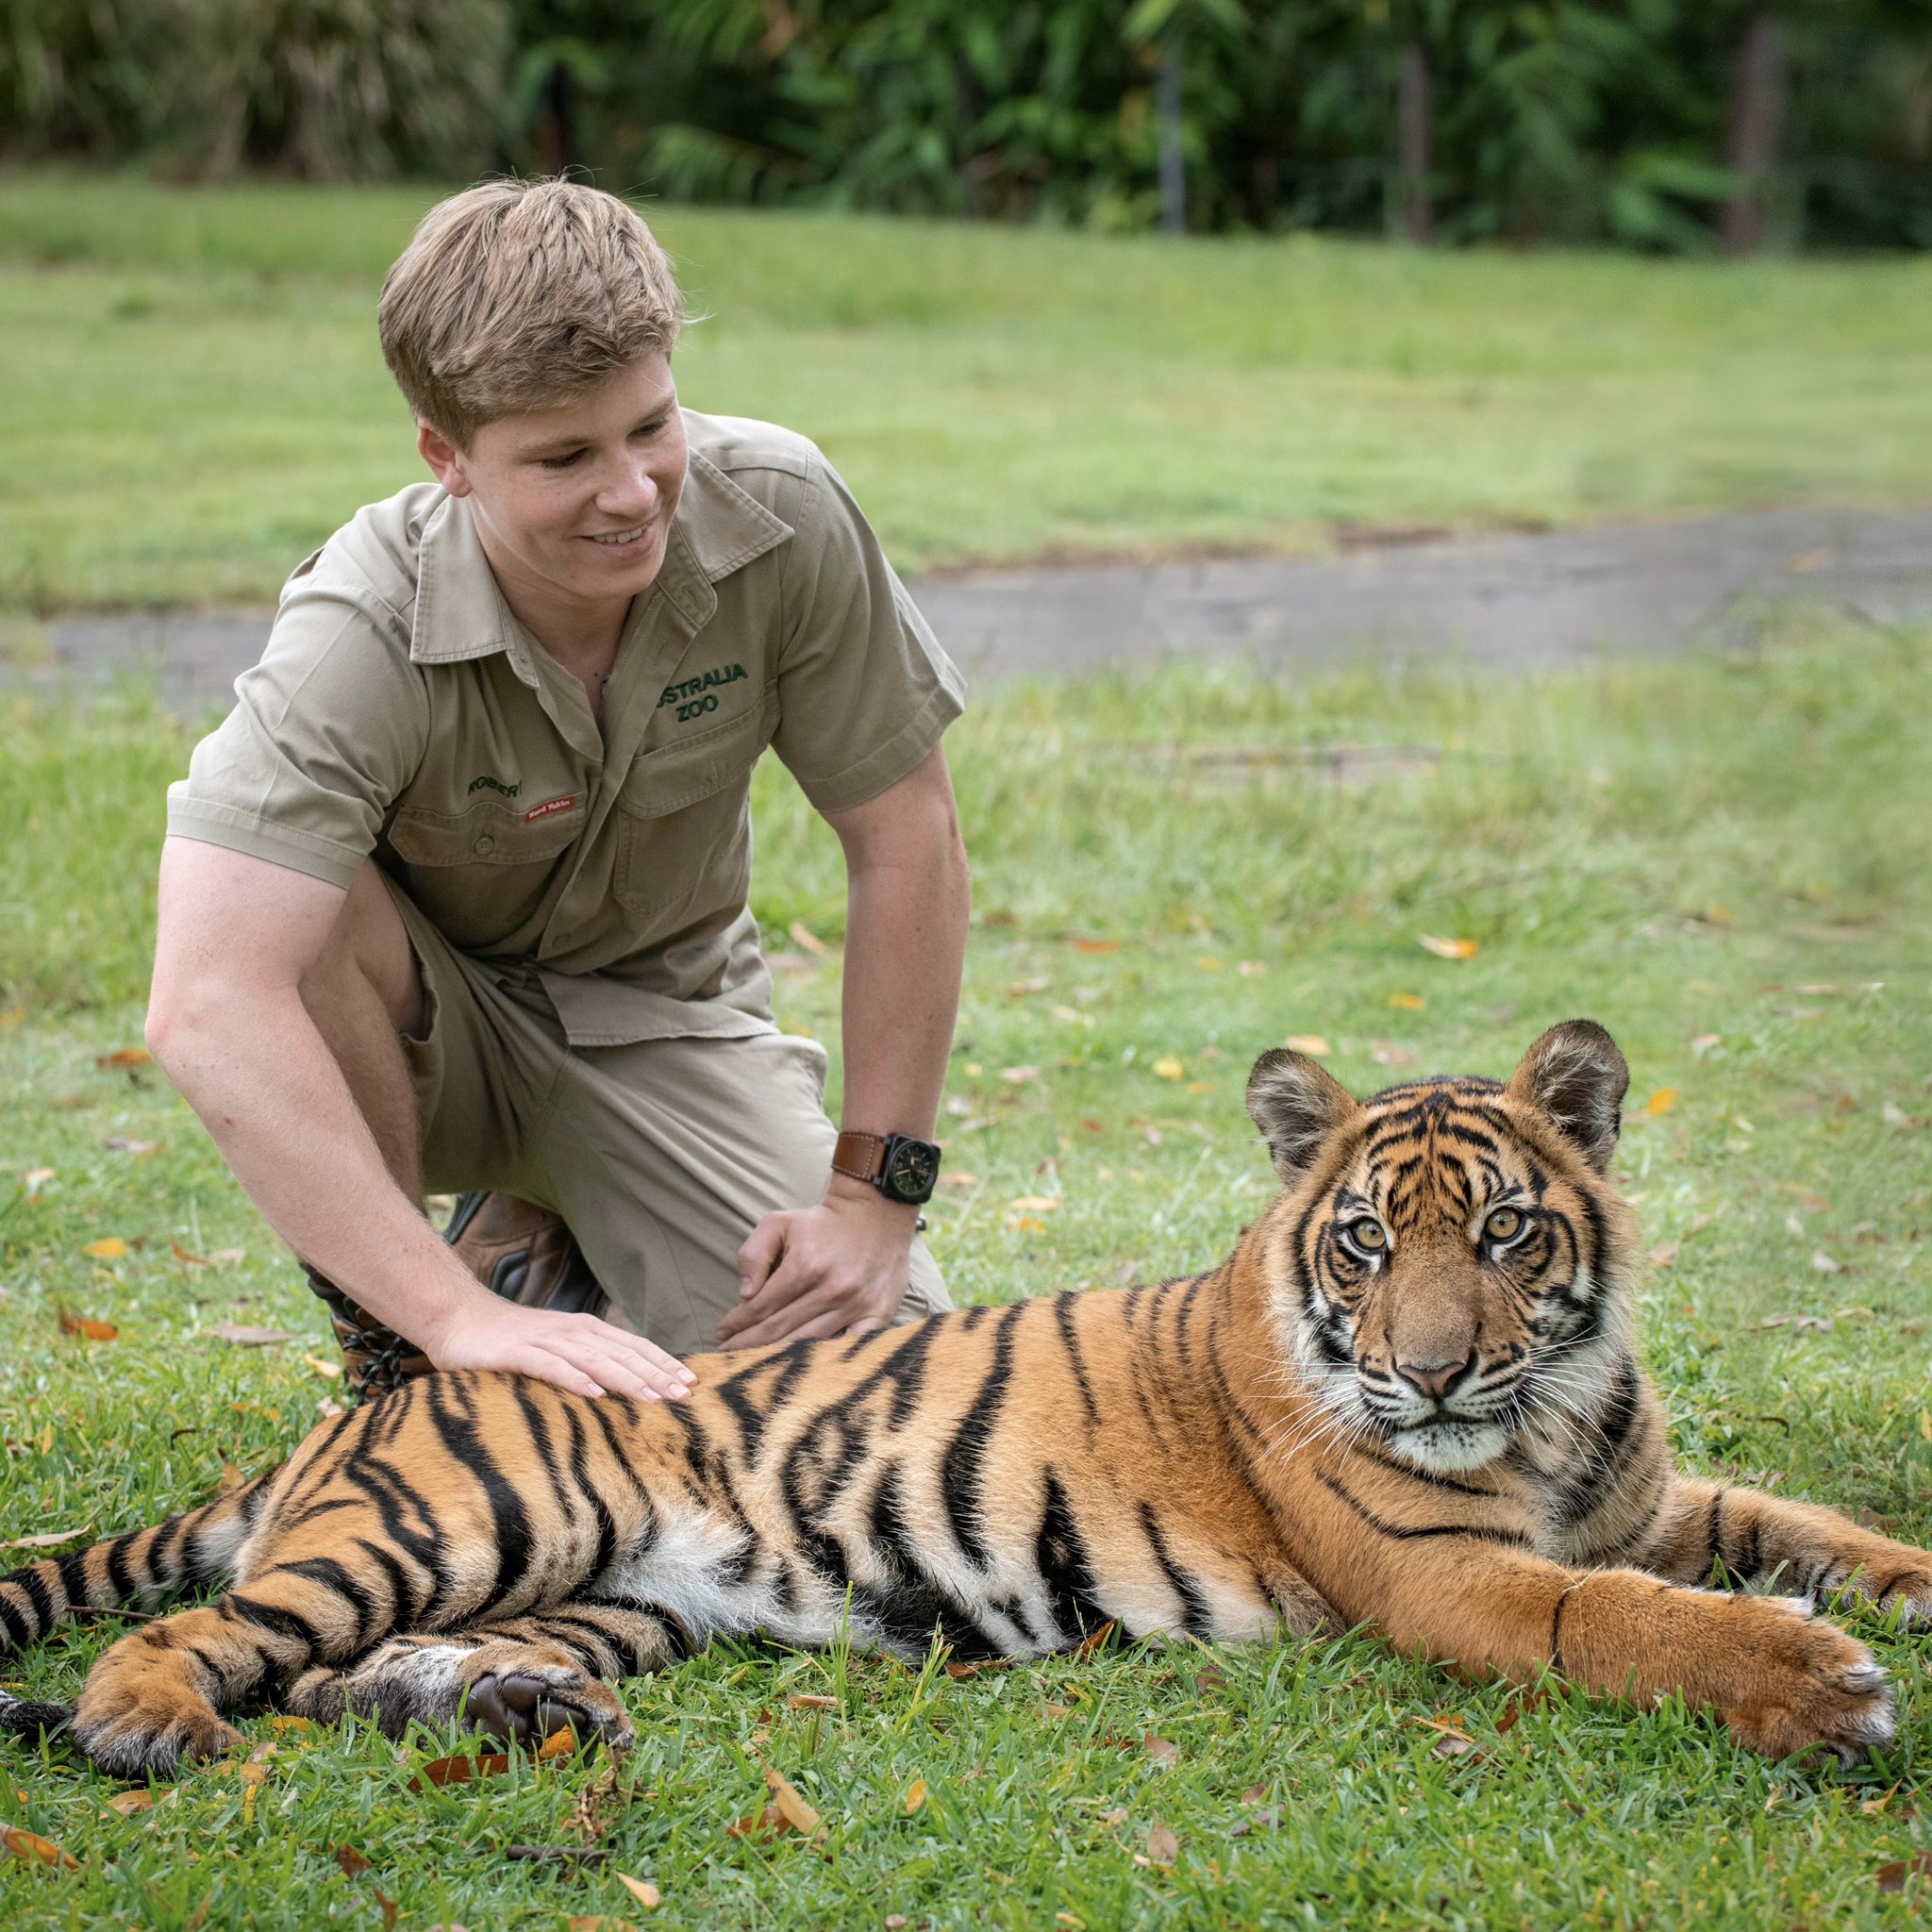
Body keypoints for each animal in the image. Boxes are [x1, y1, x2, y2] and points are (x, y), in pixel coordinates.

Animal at [4, 1020, 1932, 1769]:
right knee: (215, 1636)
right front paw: (1818, 1684)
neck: (1546, 1412)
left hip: (622, 1602)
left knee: (347, 1676)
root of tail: (360, 1407)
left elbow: (1812, 1525)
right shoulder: (1450, 1571)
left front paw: (1886, 1589)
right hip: (480, 1513)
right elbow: (1621, 1619)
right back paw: (144, 1724)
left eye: (1510, 1233)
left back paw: (507, 1710)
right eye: (1370, 1242)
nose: (1430, 1367)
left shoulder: (1652, 1494)